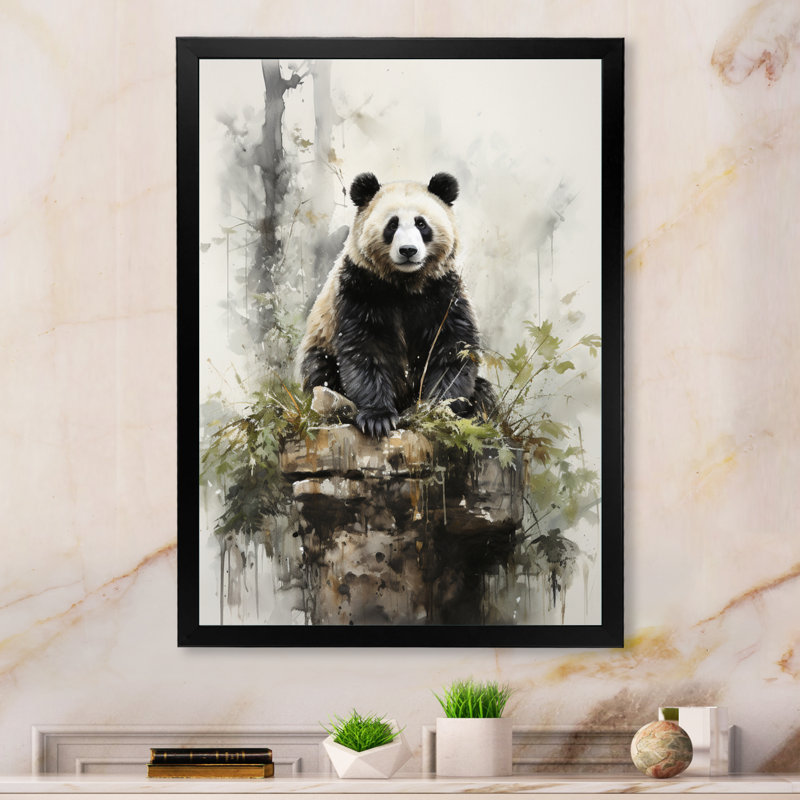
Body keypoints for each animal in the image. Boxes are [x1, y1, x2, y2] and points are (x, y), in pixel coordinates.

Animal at [298, 172, 495, 437]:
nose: (408, 250)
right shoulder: (360, 288)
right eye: (392, 225)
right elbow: (365, 348)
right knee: (320, 373)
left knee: (485, 393)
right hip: (321, 346)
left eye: (421, 224)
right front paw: (377, 418)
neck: (405, 283)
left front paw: (440, 410)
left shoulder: (443, 292)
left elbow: (452, 347)